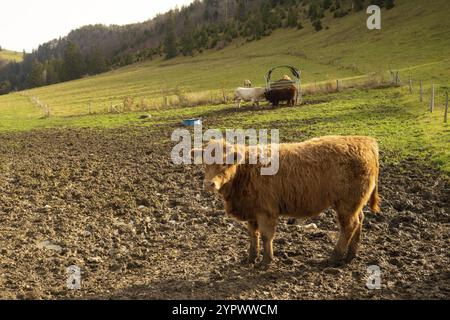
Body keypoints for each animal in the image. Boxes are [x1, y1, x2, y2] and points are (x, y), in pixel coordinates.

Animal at [192, 136, 382, 266]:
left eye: (225, 163)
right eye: (205, 163)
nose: (209, 184)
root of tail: (365, 141)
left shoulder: (266, 211)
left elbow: (266, 236)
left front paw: (266, 261)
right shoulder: (252, 212)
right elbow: (253, 235)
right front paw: (251, 258)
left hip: (347, 203)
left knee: (349, 226)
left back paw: (333, 257)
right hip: (355, 203)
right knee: (359, 221)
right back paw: (350, 255)